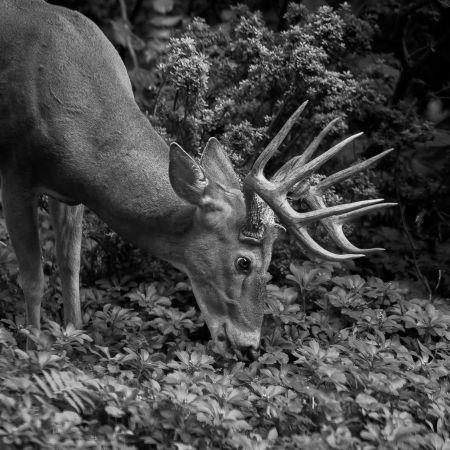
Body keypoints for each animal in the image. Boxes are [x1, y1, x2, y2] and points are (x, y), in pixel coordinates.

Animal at [0, 0, 394, 352]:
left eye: (270, 263)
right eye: (243, 261)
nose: (250, 347)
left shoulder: (70, 193)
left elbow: (71, 267)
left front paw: (74, 338)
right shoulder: (15, 172)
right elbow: (34, 277)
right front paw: (32, 350)